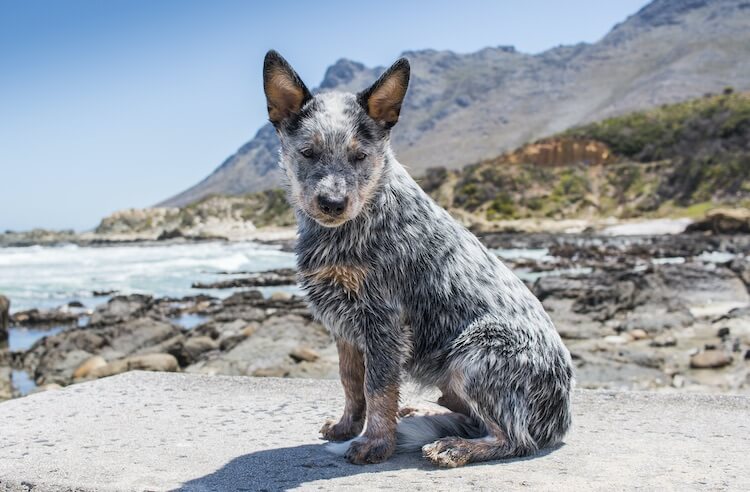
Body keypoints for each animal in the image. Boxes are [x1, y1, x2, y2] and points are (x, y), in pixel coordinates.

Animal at [262, 51, 572, 468]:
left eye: (360, 156)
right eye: (308, 152)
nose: (332, 203)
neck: (355, 225)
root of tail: (563, 420)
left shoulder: (384, 321)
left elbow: (378, 388)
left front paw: (375, 443)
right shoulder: (343, 324)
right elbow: (350, 383)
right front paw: (346, 427)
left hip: (474, 354)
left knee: (515, 438)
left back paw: (455, 447)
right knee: (470, 417)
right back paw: (427, 414)